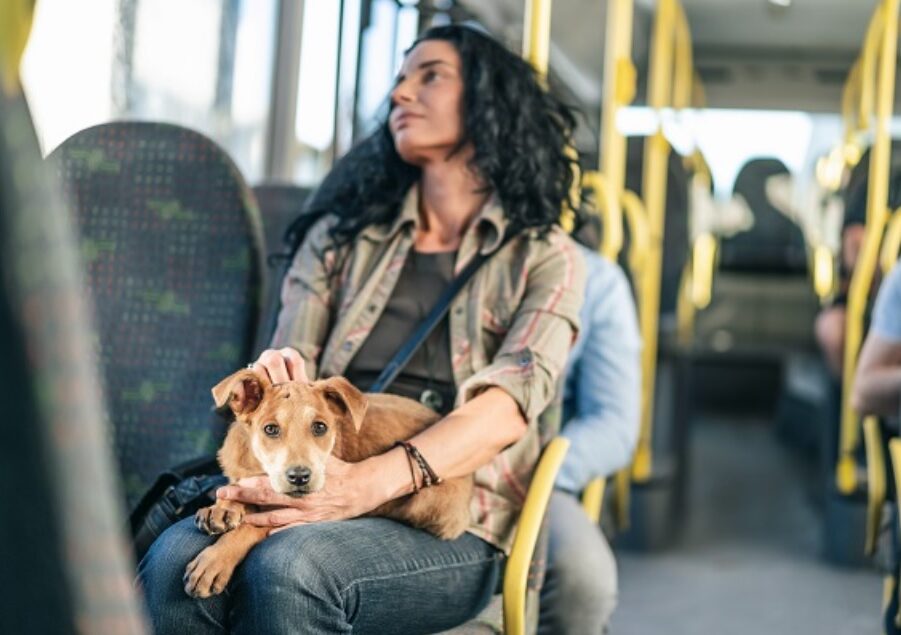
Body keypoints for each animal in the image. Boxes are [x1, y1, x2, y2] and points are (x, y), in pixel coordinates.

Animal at [183, 370, 472, 600]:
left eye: (320, 427)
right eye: (271, 429)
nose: (300, 477)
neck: (259, 468)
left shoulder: (289, 511)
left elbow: (251, 526)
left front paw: (214, 562)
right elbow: (236, 491)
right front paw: (222, 508)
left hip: (430, 504)